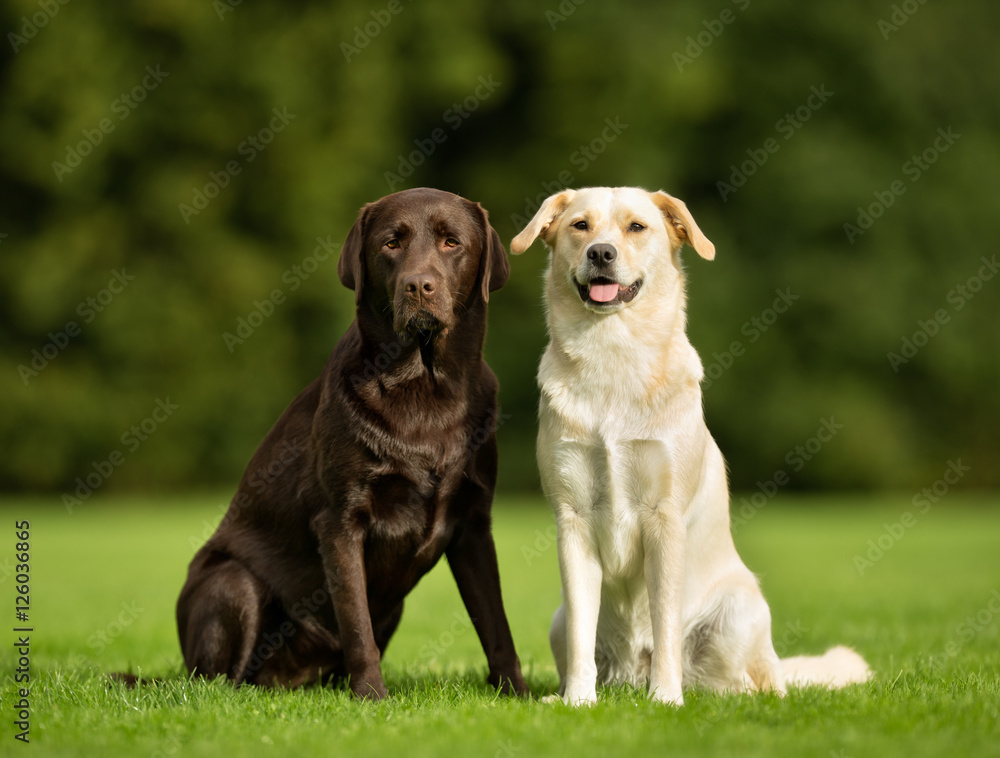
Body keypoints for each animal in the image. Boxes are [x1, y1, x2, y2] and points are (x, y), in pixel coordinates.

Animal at [176, 189, 528, 700]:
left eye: (451, 242)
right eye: (390, 243)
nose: (418, 287)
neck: (426, 388)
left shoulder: (474, 524)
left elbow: (497, 624)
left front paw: (520, 694)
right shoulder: (340, 521)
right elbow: (356, 623)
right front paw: (372, 698)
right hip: (232, 583)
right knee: (219, 681)